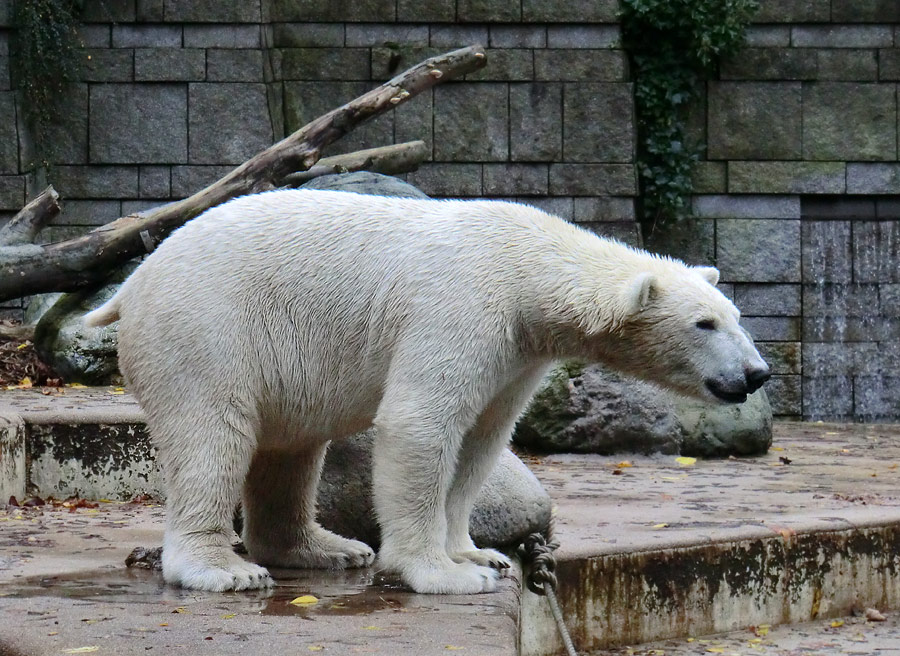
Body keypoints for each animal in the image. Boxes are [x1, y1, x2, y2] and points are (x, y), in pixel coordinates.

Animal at [84, 188, 768, 596]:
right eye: (704, 324)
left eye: (735, 315)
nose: (756, 374)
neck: (527, 267)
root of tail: (134, 280)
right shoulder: (461, 307)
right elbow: (420, 424)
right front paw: (443, 573)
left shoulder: (516, 354)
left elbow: (481, 443)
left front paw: (481, 555)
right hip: (208, 329)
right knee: (214, 436)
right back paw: (225, 570)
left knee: (290, 448)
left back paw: (326, 549)